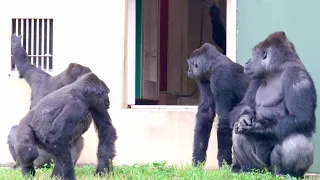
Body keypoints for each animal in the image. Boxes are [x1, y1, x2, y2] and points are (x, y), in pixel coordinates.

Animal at [230, 30, 318, 177]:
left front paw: (256, 126)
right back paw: (247, 169)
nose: (247, 61)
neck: (277, 70)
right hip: (261, 168)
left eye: (253, 55)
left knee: (295, 137)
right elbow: (243, 106)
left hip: (273, 169)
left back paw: (287, 173)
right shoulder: (256, 78)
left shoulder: (296, 76)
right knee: (238, 133)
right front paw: (245, 118)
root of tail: (268, 172)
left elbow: (301, 118)